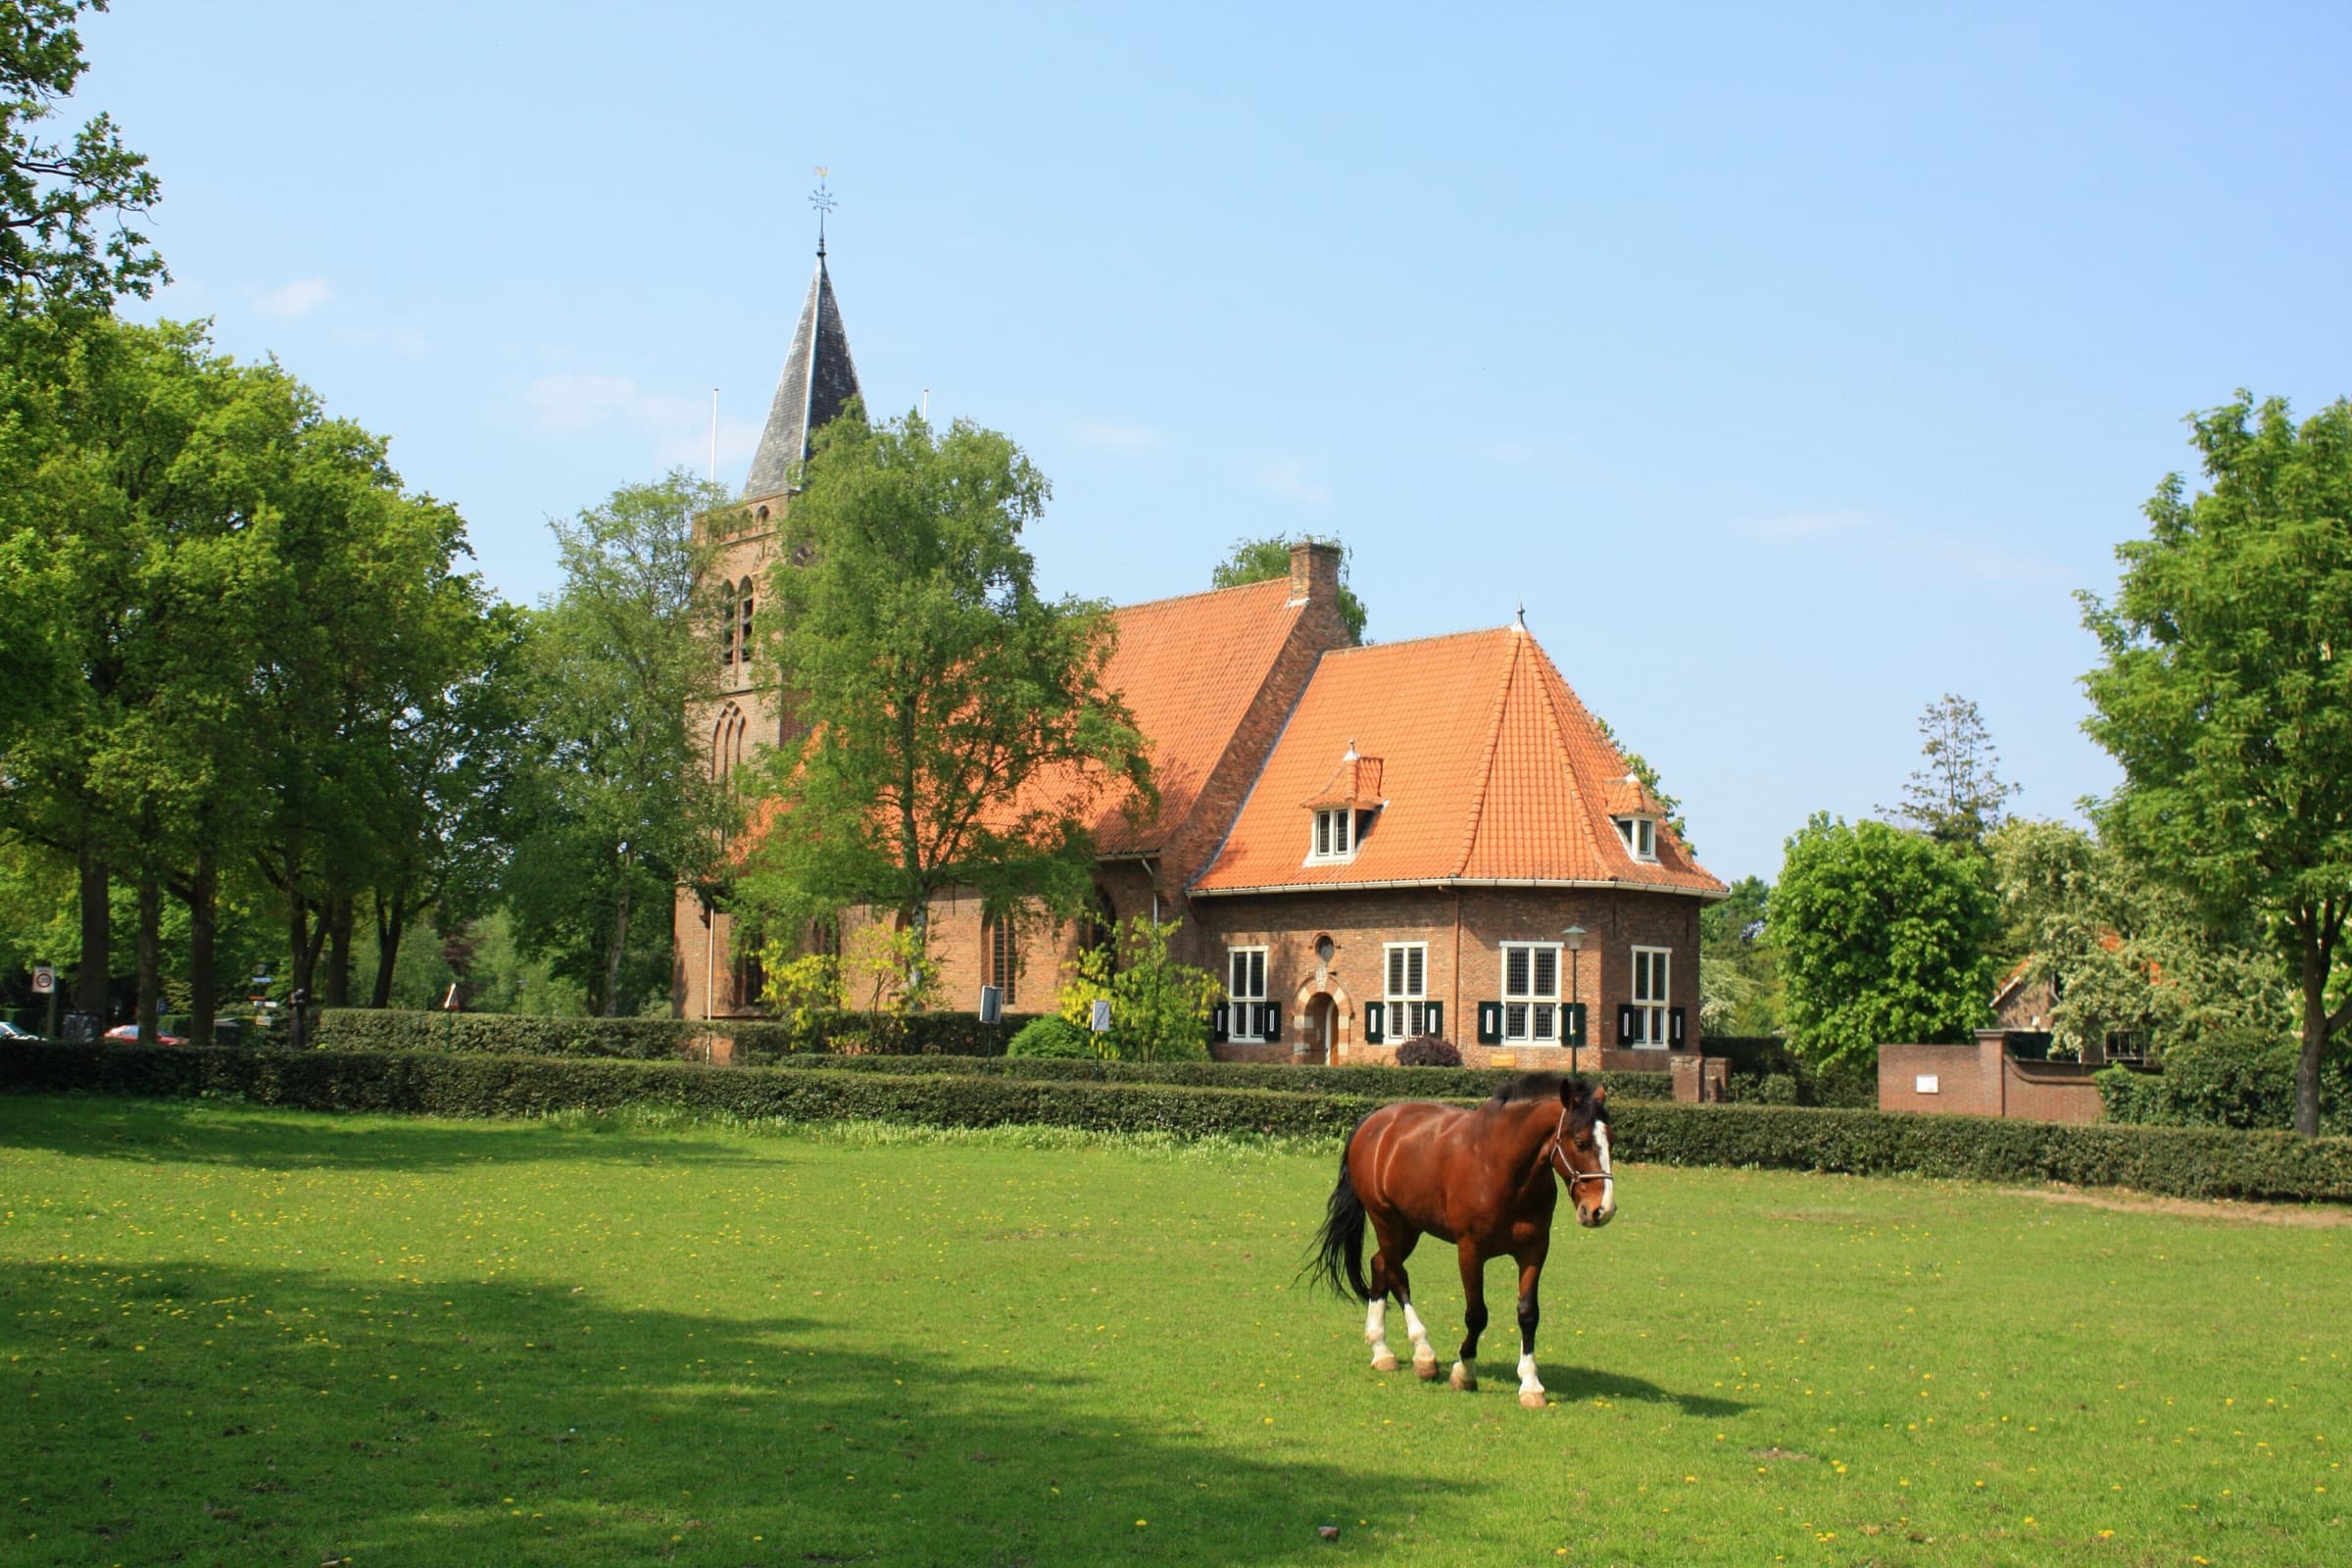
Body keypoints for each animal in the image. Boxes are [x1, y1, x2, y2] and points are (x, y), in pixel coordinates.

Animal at [1304, 1072, 1615, 1409]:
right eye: (1580, 1142)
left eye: (1611, 1141)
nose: (1601, 1210)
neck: (1500, 1165)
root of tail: (1374, 1121)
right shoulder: (1470, 1251)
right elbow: (1476, 1314)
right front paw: (1464, 1372)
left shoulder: (1534, 1250)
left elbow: (1528, 1314)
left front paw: (1531, 1385)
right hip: (1385, 1220)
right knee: (1397, 1275)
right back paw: (1423, 1355)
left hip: (1409, 1226)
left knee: (1379, 1265)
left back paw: (1381, 1350)